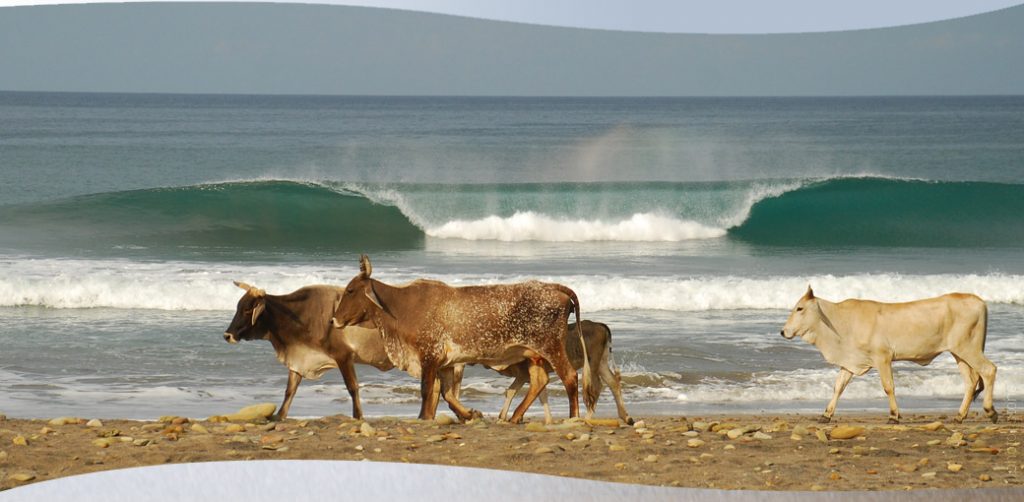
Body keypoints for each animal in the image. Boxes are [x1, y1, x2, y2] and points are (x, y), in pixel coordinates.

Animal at [224, 282, 394, 420]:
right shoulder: (299, 358)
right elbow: (290, 389)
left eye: (247, 310)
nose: (227, 335)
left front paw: (358, 416)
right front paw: (279, 415)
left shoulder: (343, 356)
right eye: (238, 307)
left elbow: (352, 387)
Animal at [330, 255, 592, 424]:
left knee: (569, 377)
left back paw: (573, 417)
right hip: (533, 354)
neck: (400, 307)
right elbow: (446, 393)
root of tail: (554, 287)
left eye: (350, 290)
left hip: (551, 346)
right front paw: (468, 415)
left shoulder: (429, 356)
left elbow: (427, 389)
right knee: (539, 381)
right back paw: (516, 416)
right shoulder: (445, 362)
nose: (333, 320)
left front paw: (423, 417)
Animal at [450, 320, 633, 425]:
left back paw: (587, 418)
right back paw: (626, 417)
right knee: (613, 382)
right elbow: (538, 394)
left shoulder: (524, 373)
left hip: (593, 362)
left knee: (596, 387)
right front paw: (548, 419)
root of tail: (602, 326)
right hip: (601, 362)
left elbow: (515, 391)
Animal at [780, 286, 997, 424]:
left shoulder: (882, 357)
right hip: (959, 353)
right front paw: (826, 415)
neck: (841, 322)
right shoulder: (850, 361)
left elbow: (888, 387)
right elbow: (838, 387)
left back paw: (990, 411)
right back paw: (960, 416)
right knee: (971, 382)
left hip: (968, 348)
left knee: (989, 370)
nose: (783, 331)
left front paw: (894, 415)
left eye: (799, 308)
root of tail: (980, 301)